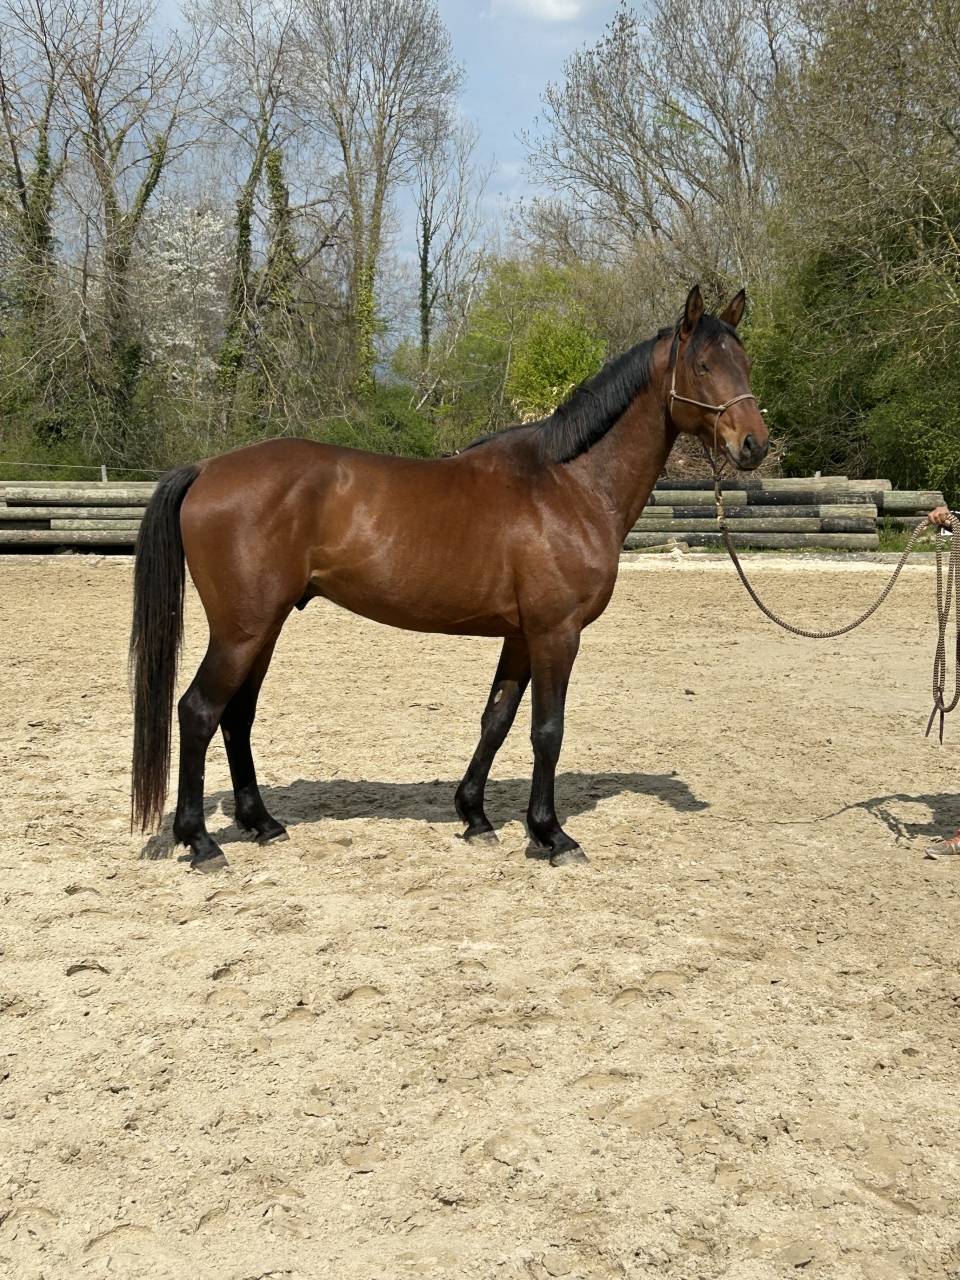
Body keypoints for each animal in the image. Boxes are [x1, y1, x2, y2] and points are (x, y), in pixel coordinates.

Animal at [130, 284, 769, 871]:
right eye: (704, 366)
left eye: (744, 362)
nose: (753, 444)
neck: (569, 485)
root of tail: (206, 468)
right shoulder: (556, 633)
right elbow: (547, 730)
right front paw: (551, 835)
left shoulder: (521, 635)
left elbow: (497, 719)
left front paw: (476, 816)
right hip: (242, 629)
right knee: (199, 712)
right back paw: (201, 842)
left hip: (263, 627)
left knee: (236, 715)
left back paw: (261, 823)